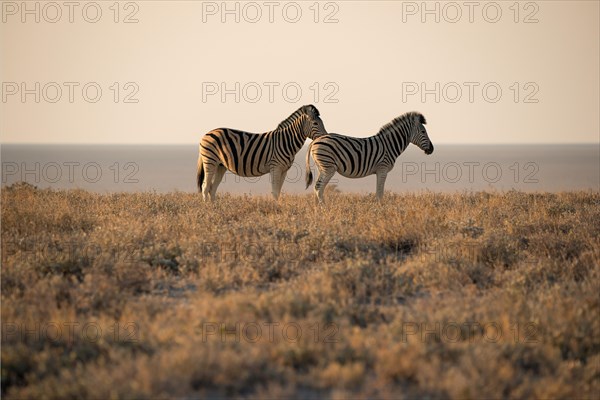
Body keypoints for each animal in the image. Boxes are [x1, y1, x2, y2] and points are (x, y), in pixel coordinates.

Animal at [197, 104, 328, 202]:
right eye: (315, 123)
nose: (326, 137)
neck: (286, 141)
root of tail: (207, 133)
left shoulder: (284, 170)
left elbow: (278, 192)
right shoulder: (275, 167)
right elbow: (275, 192)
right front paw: (276, 209)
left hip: (220, 165)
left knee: (212, 188)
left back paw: (215, 208)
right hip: (210, 161)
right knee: (205, 187)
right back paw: (207, 209)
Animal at [304, 111, 432, 203]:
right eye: (423, 132)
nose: (431, 149)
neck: (389, 144)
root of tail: (315, 141)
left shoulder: (379, 171)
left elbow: (378, 192)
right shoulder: (382, 169)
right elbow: (380, 193)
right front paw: (380, 209)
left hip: (321, 167)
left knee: (317, 187)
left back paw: (317, 209)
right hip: (328, 167)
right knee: (319, 188)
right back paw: (323, 208)